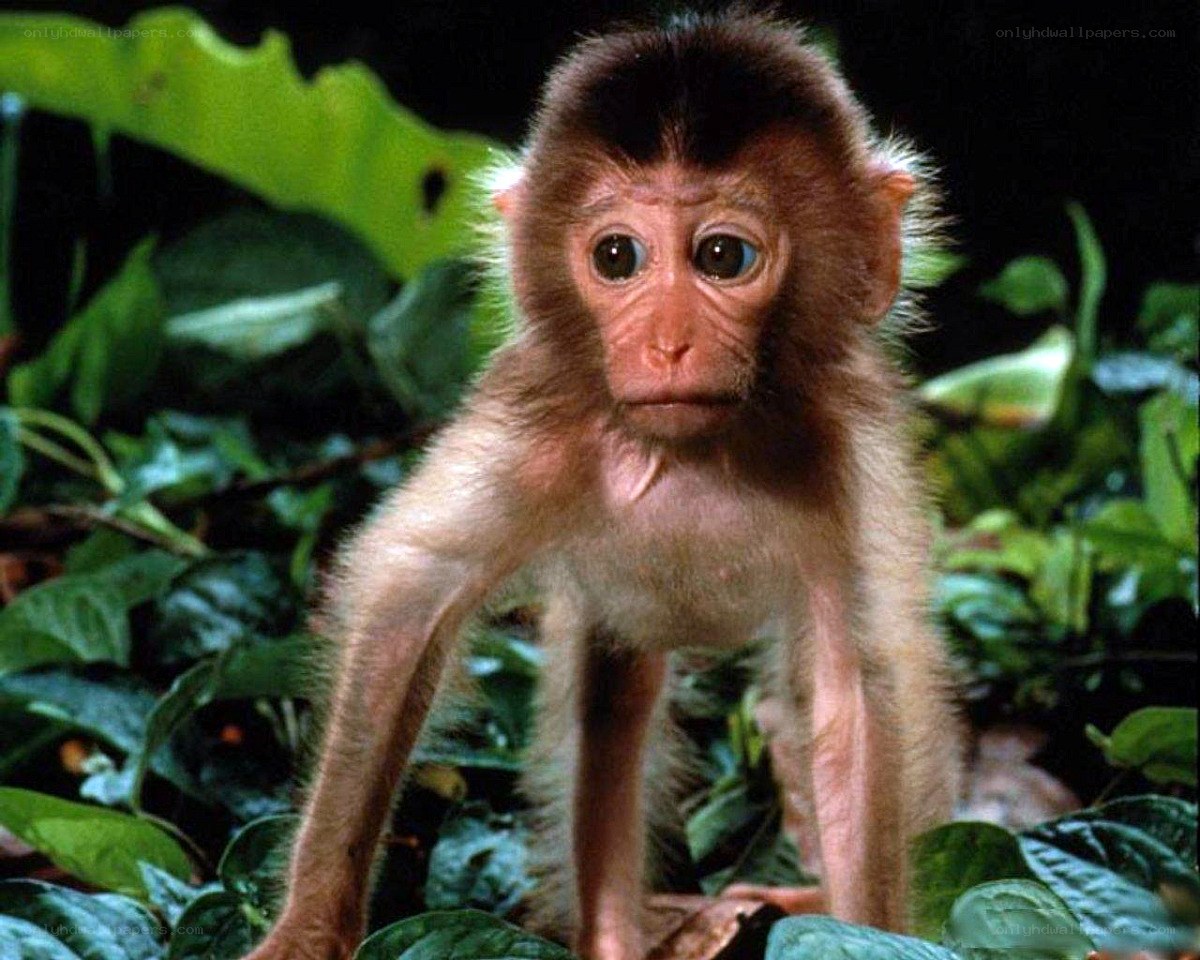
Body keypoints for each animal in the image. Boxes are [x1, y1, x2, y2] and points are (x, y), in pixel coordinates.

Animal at [242, 11, 962, 960]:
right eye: (617, 257)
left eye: (724, 255)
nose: (666, 343)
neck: (695, 454)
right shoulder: (534, 431)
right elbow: (407, 604)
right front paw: (310, 926)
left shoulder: (843, 456)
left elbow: (852, 704)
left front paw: (865, 932)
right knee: (612, 708)